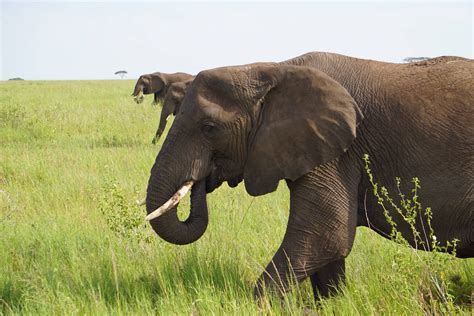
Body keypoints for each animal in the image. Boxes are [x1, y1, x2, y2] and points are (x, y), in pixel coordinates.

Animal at [143, 52, 472, 302]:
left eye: (209, 128)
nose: (201, 177)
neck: (273, 70)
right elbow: (327, 249)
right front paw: (333, 304)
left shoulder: (338, 152)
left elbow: (325, 235)